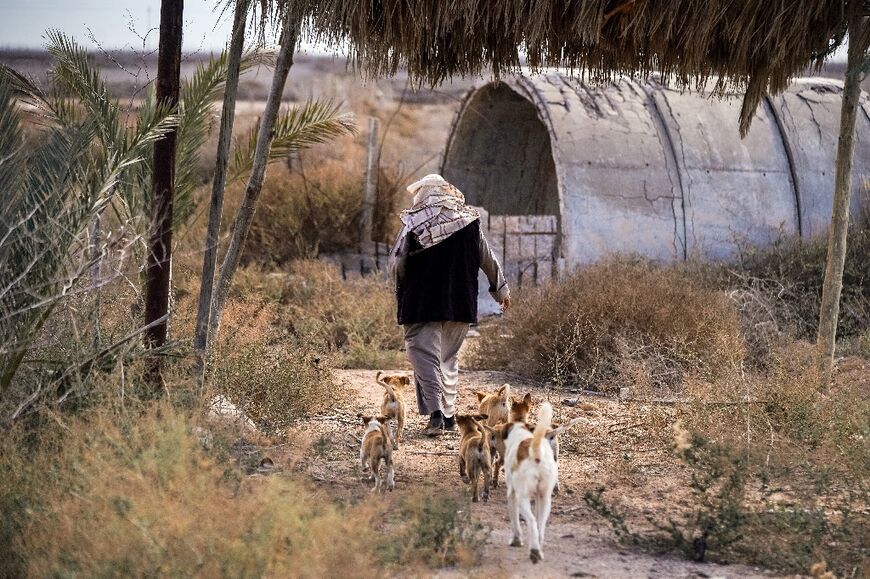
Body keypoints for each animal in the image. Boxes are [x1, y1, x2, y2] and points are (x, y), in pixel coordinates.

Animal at [504, 404, 560, 560]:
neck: (521, 434)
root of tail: (536, 452)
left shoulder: (512, 494)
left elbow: (515, 521)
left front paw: (516, 540)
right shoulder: (538, 496)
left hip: (522, 497)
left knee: (532, 521)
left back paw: (534, 551)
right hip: (546, 499)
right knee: (540, 524)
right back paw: (538, 546)